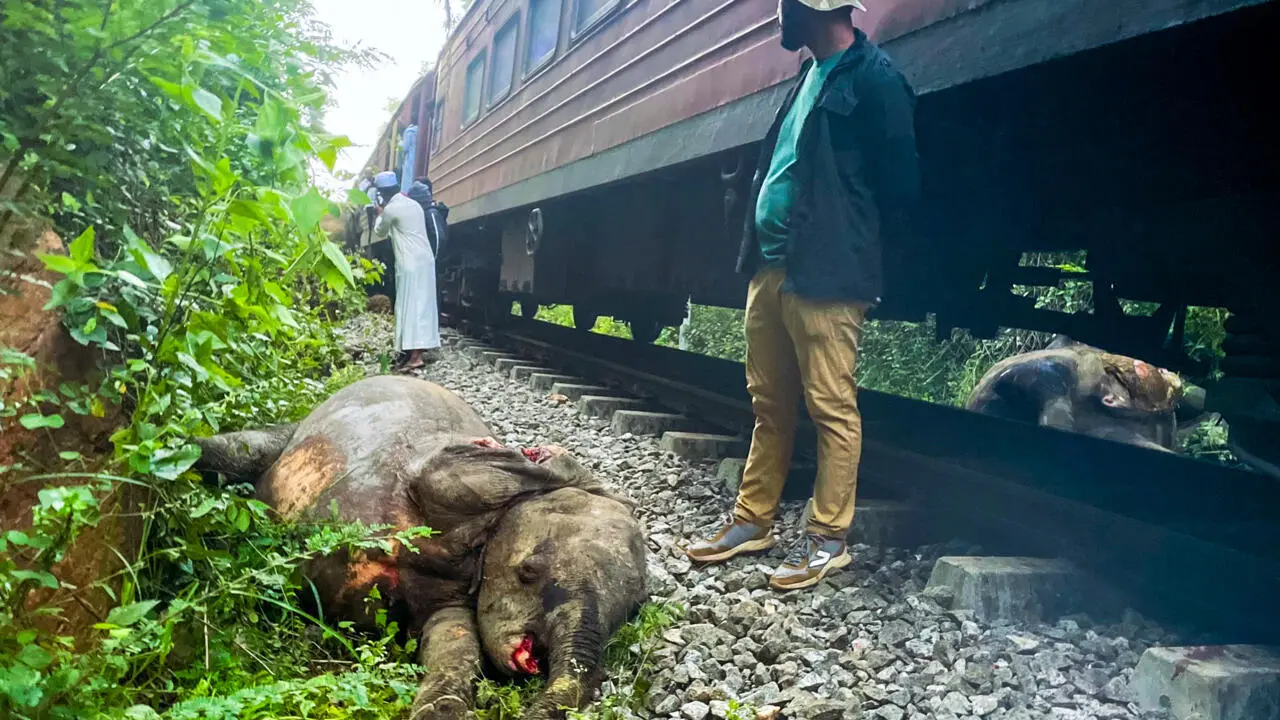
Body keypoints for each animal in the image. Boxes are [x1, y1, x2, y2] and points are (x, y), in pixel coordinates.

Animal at [192, 371, 650, 717]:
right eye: (528, 572)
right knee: (238, 449)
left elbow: (454, 640)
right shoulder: (448, 474)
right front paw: (547, 460)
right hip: (293, 433)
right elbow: (448, 476)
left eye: (633, 612)